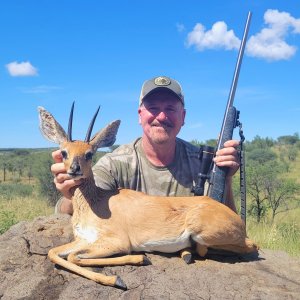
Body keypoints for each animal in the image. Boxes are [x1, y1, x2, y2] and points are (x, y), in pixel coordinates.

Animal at [37, 103, 258, 290]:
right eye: (63, 152)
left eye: (90, 153)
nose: (74, 169)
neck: (95, 202)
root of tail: (236, 219)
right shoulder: (84, 239)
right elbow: (54, 253)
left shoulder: (117, 242)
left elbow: (74, 257)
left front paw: (126, 271)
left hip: (204, 233)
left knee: (249, 246)